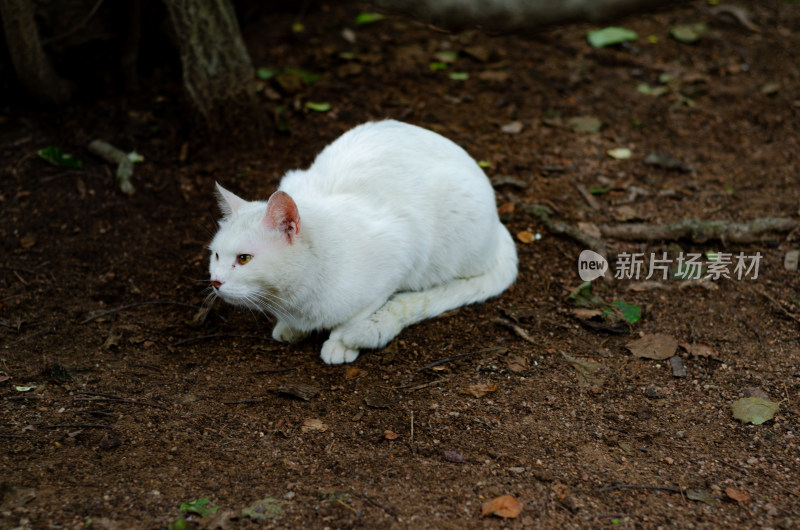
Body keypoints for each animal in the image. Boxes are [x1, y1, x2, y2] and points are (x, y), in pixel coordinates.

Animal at [208, 119, 520, 364]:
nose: (215, 282)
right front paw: (292, 328)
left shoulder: (402, 251)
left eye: (244, 259)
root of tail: (498, 224)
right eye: (216, 256)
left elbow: (358, 314)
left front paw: (339, 342)